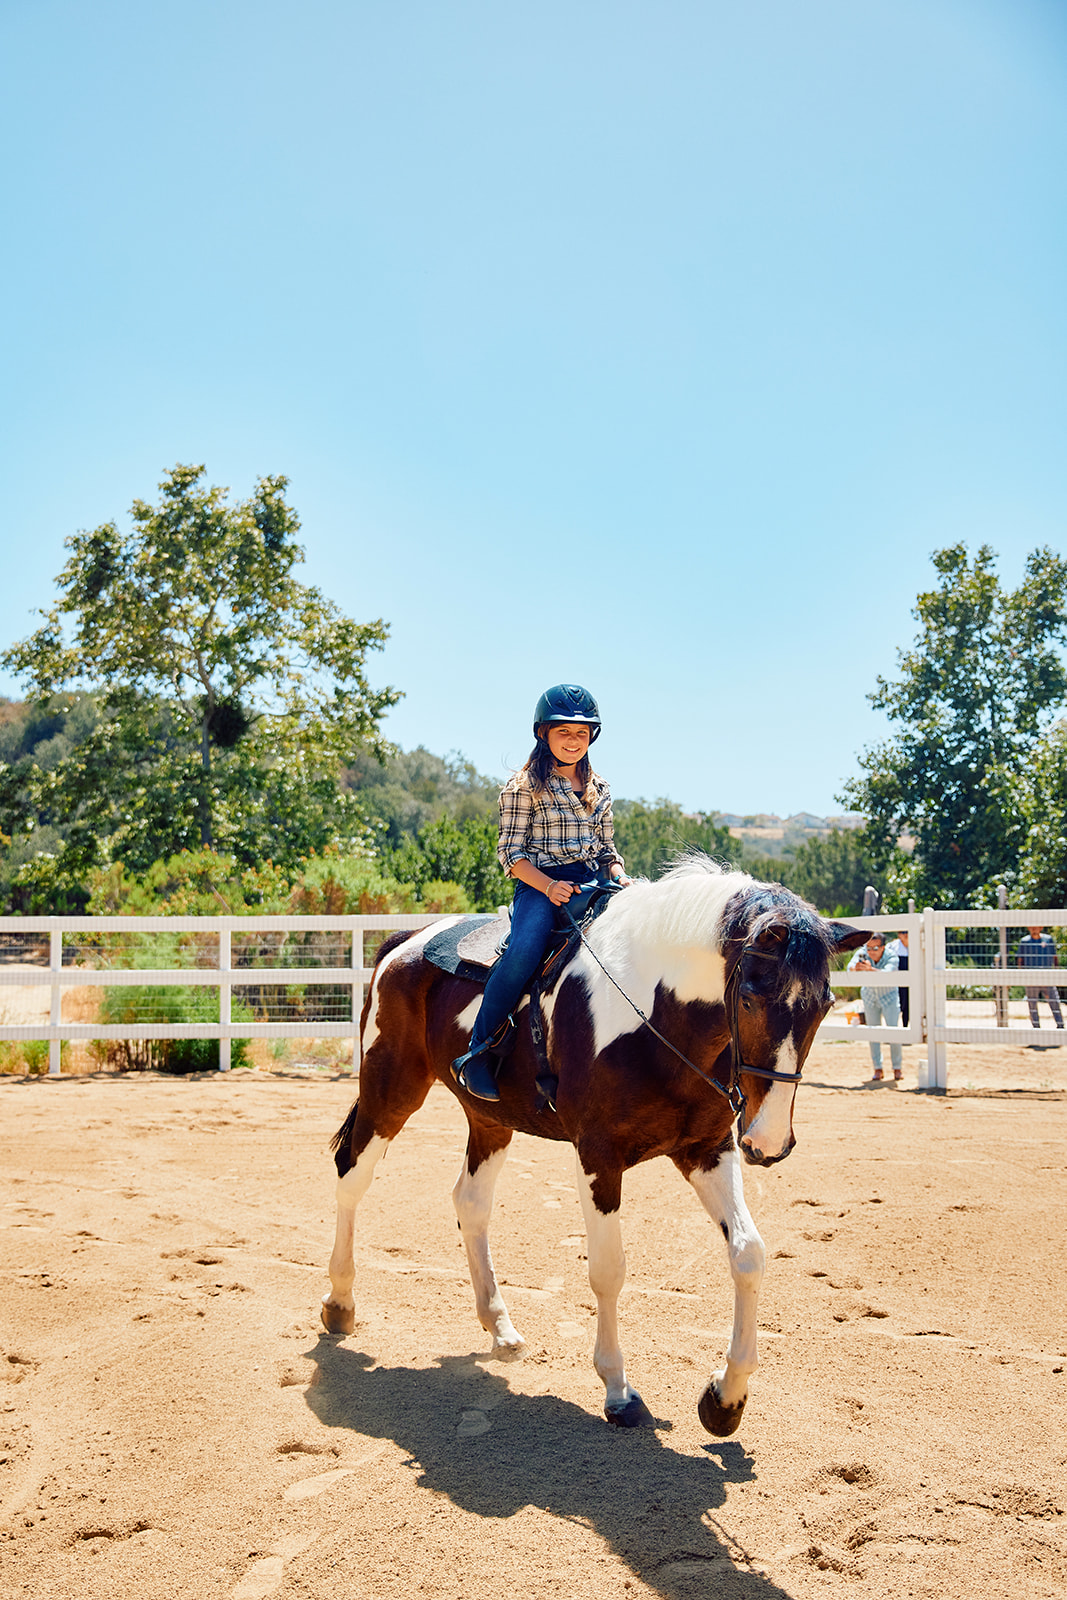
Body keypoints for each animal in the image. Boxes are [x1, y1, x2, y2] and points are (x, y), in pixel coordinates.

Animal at [321, 857, 866, 1432]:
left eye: (825, 1004)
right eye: (750, 997)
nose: (769, 1140)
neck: (657, 1015)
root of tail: (405, 941)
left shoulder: (707, 1150)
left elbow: (748, 1253)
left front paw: (725, 1398)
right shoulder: (598, 1157)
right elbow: (608, 1271)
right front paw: (619, 1390)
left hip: (490, 1120)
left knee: (470, 1204)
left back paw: (501, 1329)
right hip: (390, 1091)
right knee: (351, 1178)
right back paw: (340, 1303)